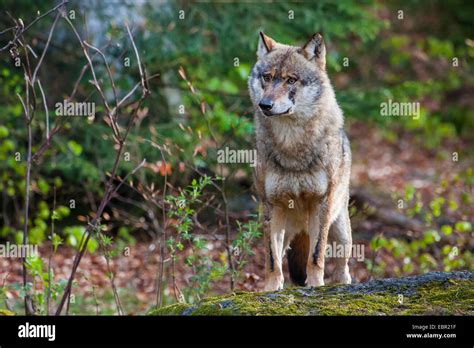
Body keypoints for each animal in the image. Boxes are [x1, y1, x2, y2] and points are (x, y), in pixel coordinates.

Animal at [248, 32, 352, 290]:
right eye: (267, 77)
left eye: (291, 80)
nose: (265, 104)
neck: (291, 146)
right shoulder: (271, 206)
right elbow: (272, 260)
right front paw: (271, 289)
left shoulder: (321, 204)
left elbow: (316, 256)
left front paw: (316, 285)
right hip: (286, 232)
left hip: (341, 232)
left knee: (343, 267)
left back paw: (343, 283)